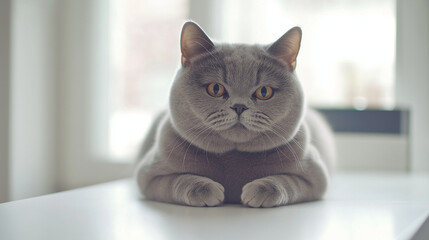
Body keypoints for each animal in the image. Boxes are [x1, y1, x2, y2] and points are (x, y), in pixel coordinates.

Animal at [135, 21, 336, 207]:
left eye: (264, 92)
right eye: (215, 89)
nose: (239, 106)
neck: (232, 158)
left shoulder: (315, 176)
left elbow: (286, 181)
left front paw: (259, 190)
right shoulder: (149, 175)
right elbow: (179, 179)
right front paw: (205, 189)